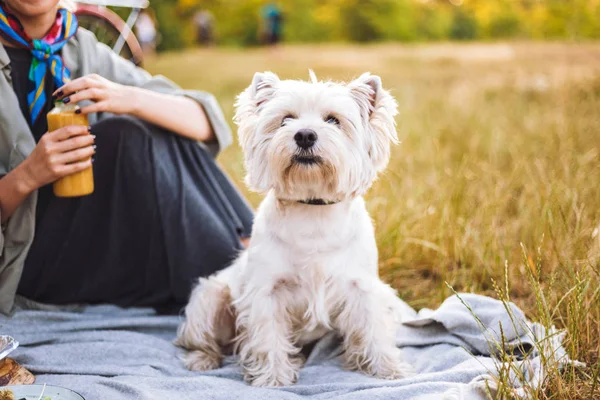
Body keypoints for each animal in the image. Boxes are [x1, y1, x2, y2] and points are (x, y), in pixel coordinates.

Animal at [176, 70, 414, 386]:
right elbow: (269, 336)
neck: (312, 209)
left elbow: (373, 327)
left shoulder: (361, 286)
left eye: (333, 120)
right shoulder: (267, 291)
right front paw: (273, 378)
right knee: (204, 340)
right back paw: (203, 359)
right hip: (208, 298)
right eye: (285, 119)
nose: (304, 135)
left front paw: (389, 368)